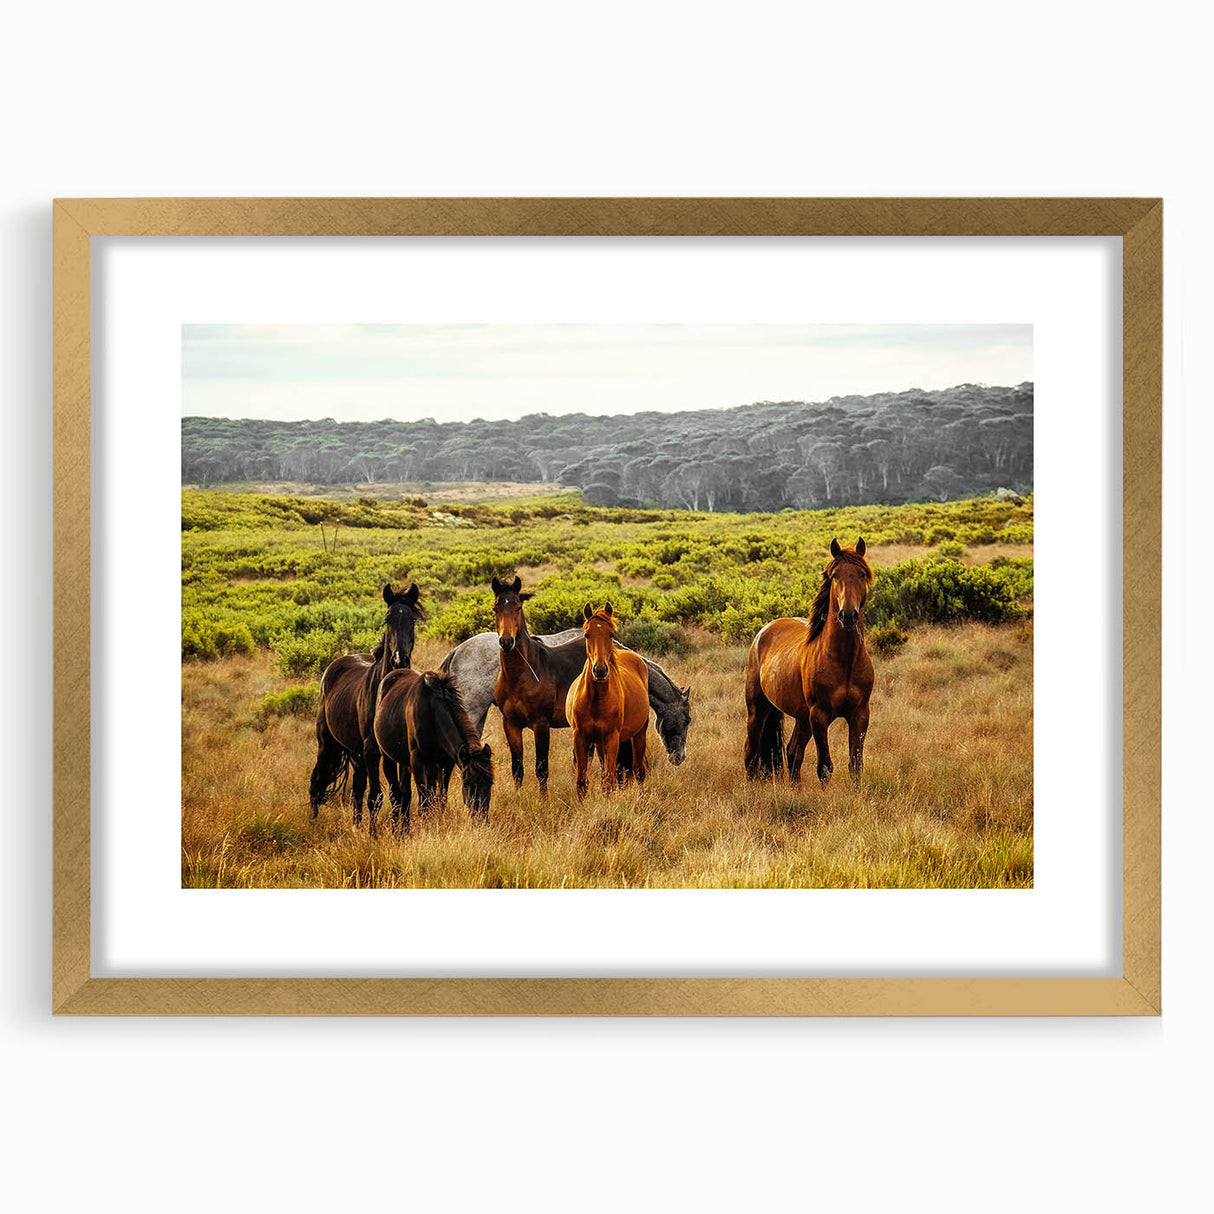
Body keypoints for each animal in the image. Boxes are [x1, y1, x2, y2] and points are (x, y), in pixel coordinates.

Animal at [308, 582, 422, 832]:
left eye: (412, 619)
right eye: (388, 618)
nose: (399, 659)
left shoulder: (398, 753)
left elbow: (402, 794)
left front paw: (402, 831)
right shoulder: (372, 749)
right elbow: (377, 796)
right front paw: (374, 835)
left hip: (356, 752)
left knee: (358, 788)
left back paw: (356, 825)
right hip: (328, 743)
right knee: (317, 780)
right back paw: (314, 821)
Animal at [373, 668, 494, 833]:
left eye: (490, 783)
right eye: (467, 784)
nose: (480, 819)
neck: (432, 713)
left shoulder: (446, 762)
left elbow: (440, 798)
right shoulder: (417, 761)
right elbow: (424, 801)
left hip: (410, 763)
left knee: (406, 794)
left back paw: (405, 828)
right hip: (388, 758)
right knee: (396, 794)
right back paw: (398, 830)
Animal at [565, 602, 650, 798]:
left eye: (611, 633)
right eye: (587, 634)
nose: (600, 670)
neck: (596, 699)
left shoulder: (612, 738)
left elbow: (609, 781)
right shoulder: (580, 737)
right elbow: (582, 782)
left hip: (639, 734)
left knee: (639, 771)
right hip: (599, 743)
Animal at [744, 538, 875, 785]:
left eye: (862, 574)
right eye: (835, 575)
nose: (848, 615)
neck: (845, 660)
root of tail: (763, 632)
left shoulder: (860, 714)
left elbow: (856, 765)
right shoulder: (819, 716)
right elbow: (825, 767)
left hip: (802, 717)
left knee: (792, 751)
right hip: (758, 709)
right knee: (751, 751)